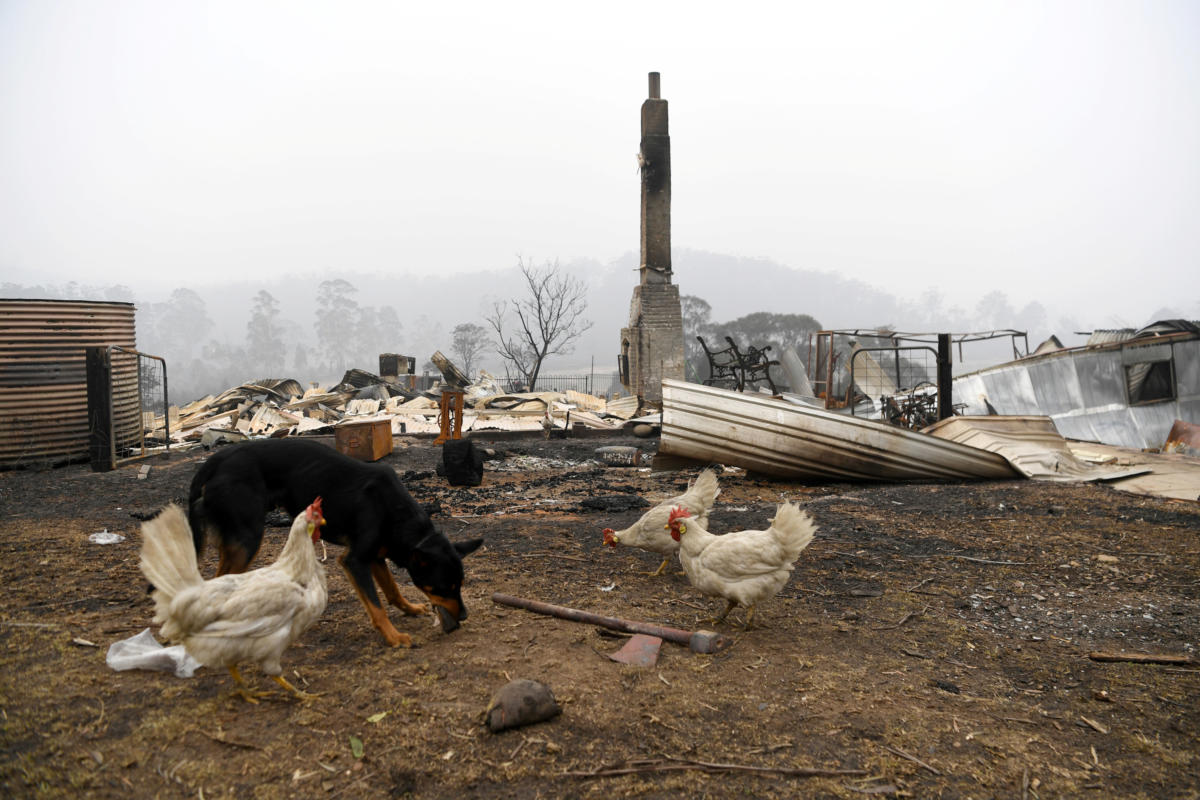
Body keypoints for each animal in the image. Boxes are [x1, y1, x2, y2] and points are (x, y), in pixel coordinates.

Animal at [187, 438, 477, 652]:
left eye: (460, 585)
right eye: (443, 588)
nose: (464, 616)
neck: (393, 510)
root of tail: (217, 459)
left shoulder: (375, 557)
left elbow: (392, 590)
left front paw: (410, 609)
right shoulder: (355, 561)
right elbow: (377, 606)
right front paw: (394, 637)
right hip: (248, 539)